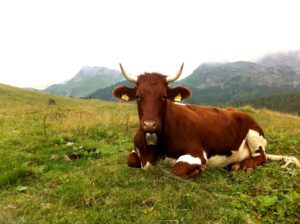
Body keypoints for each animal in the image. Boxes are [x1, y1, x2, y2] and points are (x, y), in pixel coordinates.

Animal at [112, 63, 300, 178]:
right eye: (138, 96)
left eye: (164, 97)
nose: (149, 124)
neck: (152, 153)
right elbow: (130, 160)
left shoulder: (197, 153)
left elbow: (176, 169)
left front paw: (199, 170)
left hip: (254, 135)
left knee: (262, 156)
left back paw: (242, 165)